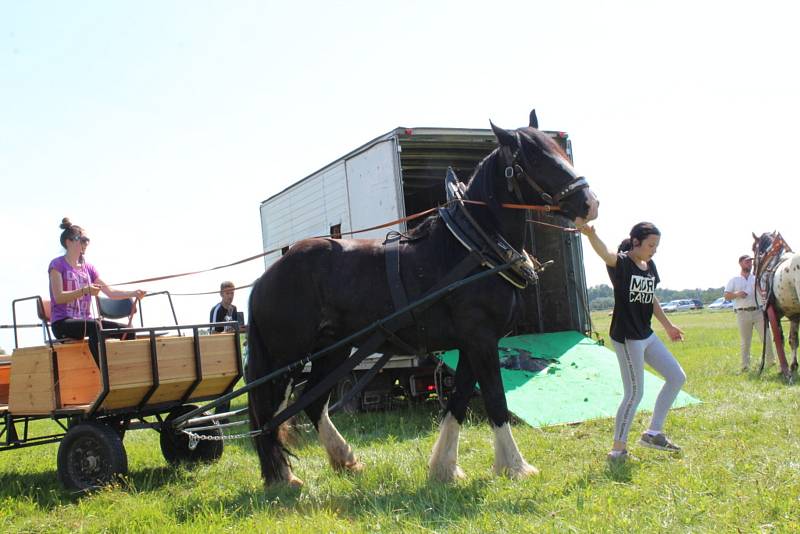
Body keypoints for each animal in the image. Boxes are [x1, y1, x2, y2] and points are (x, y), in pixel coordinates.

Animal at [245, 113, 600, 490]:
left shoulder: (470, 344)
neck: (472, 248)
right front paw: (515, 466)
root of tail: (265, 278)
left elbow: (457, 402)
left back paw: (344, 461)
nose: (590, 203)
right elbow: (495, 399)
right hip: (286, 358)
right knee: (269, 414)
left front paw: (444, 468)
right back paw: (283, 477)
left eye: (556, 150)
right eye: (533, 157)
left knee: (311, 404)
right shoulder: (481, 339)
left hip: (333, 351)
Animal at [752, 231, 796, 382]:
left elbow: (779, 339)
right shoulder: (793, 314)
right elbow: (793, 339)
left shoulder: (774, 313)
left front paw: (785, 370)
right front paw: (794, 366)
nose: (753, 270)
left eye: (754, 248)